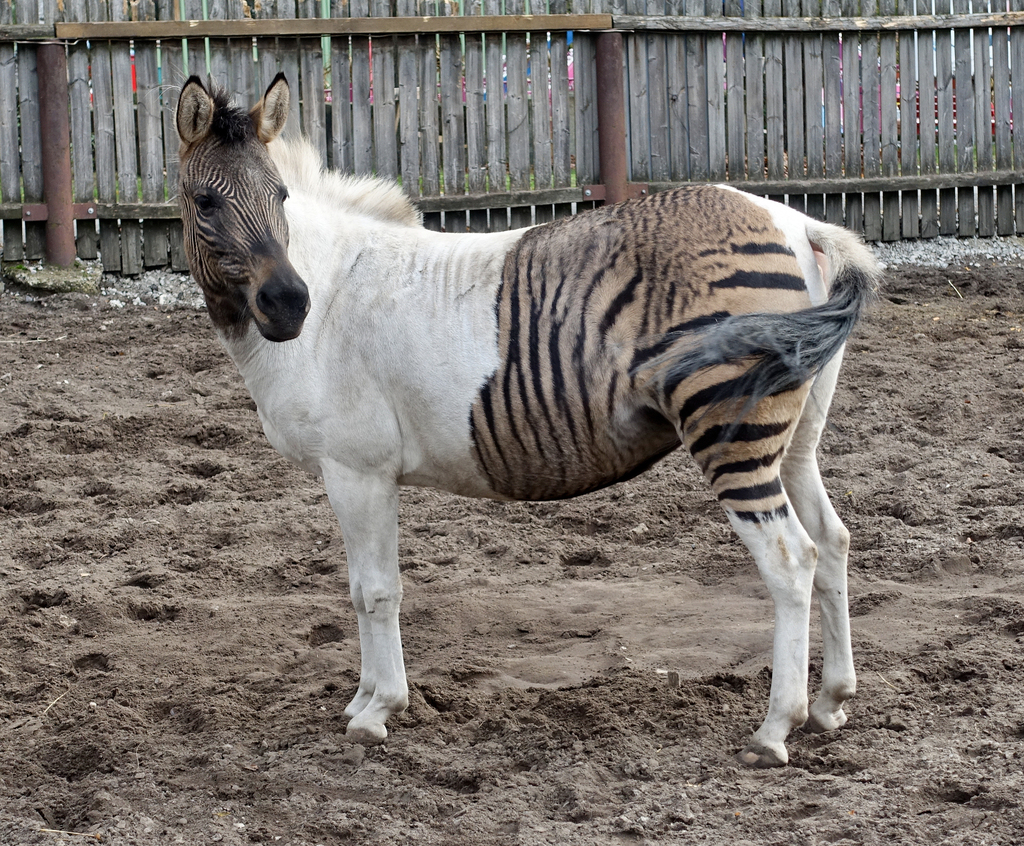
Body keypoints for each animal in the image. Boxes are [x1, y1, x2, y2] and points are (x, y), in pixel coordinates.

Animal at [175, 73, 881, 767]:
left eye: (281, 196)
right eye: (205, 202)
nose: (289, 305)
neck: (333, 293)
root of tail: (795, 224)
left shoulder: (357, 470)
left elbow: (375, 590)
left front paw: (378, 711)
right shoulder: (355, 475)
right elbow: (357, 588)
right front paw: (361, 701)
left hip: (732, 435)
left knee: (790, 560)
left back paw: (775, 727)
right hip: (793, 442)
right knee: (833, 542)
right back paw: (831, 702)